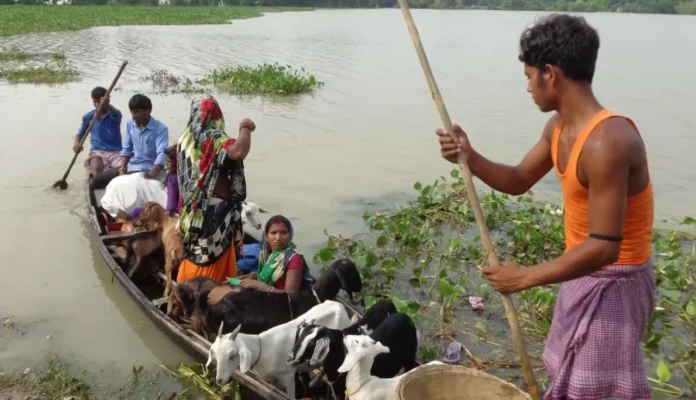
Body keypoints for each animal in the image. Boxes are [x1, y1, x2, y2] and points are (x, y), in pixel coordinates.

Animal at [204, 298, 350, 396]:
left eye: (232, 355)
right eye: (215, 354)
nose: (219, 380)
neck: (262, 348)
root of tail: (340, 306)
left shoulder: (288, 376)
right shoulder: (272, 379)